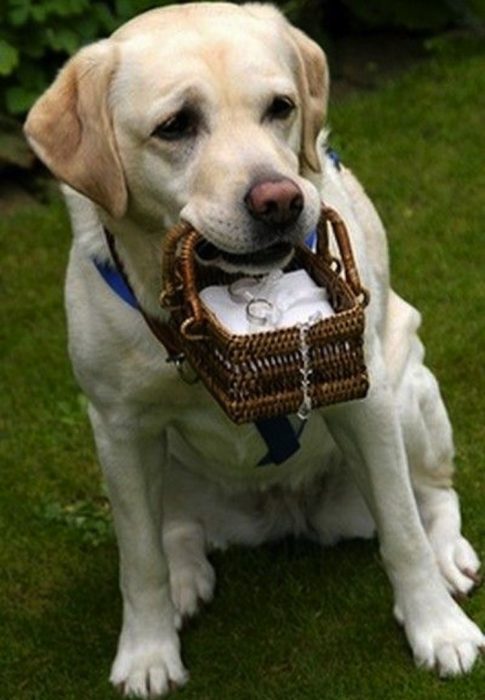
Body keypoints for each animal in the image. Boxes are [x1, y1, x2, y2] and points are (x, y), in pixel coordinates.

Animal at [24, 2, 482, 696]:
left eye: (280, 107)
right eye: (175, 126)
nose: (281, 200)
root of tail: (283, 513)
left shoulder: (366, 399)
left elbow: (402, 532)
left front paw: (439, 630)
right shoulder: (118, 426)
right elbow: (140, 559)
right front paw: (147, 653)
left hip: (408, 397)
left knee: (431, 493)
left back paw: (448, 555)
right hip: (154, 455)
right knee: (175, 529)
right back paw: (186, 575)